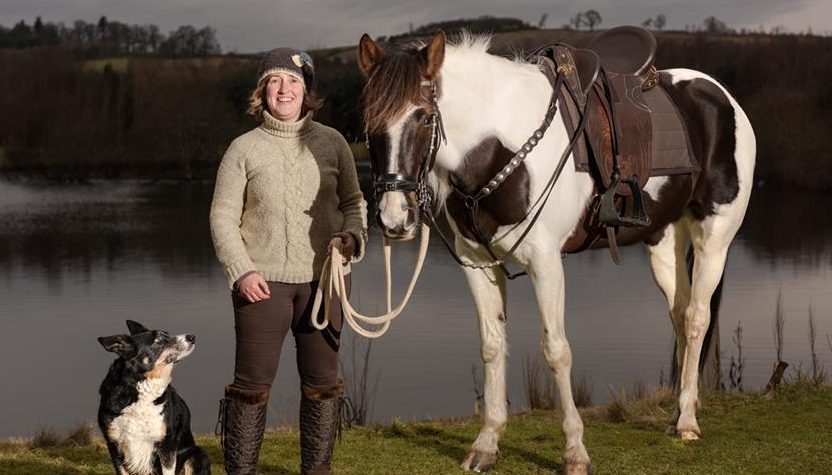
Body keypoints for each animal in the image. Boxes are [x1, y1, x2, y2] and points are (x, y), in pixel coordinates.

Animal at [98, 322, 211, 474]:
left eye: (167, 334)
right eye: (158, 340)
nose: (192, 337)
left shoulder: (166, 445)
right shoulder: (114, 444)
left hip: (197, 454)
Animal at [358, 31, 752, 474]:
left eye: (425, 118)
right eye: (368, 122)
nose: (394, 219)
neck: (498, 147)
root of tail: (720, 95)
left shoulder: (545, 262)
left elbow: (556, 351)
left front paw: (575, 452)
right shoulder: (477, 262)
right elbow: (492, 344)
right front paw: (487, 443)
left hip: (714, 237)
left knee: (698, 317)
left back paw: (686, 421)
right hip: (664, 242)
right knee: (680, 316)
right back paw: (680, 413)